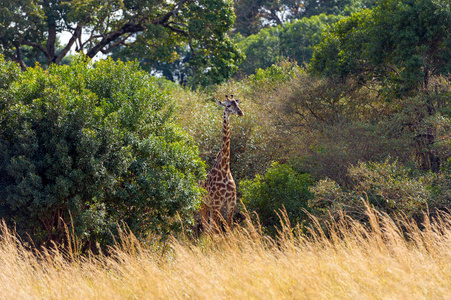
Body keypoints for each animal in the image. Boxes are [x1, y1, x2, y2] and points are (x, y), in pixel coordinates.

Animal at [200, 94, 244, 232]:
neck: (224, 169)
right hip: (203, 204)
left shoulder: (231, 204)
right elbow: (215, 230)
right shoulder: (216, 204)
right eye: (228, 105)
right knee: (205, 228)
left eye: (237, 103)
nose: (240, 112)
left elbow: (229, 229)